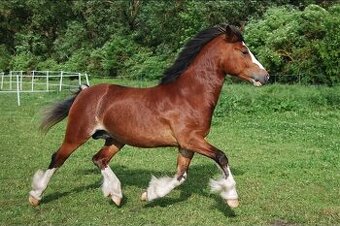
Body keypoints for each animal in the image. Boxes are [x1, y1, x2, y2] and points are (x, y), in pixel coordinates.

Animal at [28, 24, 268, 208]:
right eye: (243, 51)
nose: (265, 76)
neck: (189, 96)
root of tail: (85, 92)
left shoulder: (186, 145)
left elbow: (180, 176)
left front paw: (149, 194)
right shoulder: (191, 139)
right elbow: (221, 157)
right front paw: (232, 197)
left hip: (116, 139)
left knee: (99, 159)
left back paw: (115, 194)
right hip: (77, 134)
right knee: (58, 158)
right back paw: (35, 196)